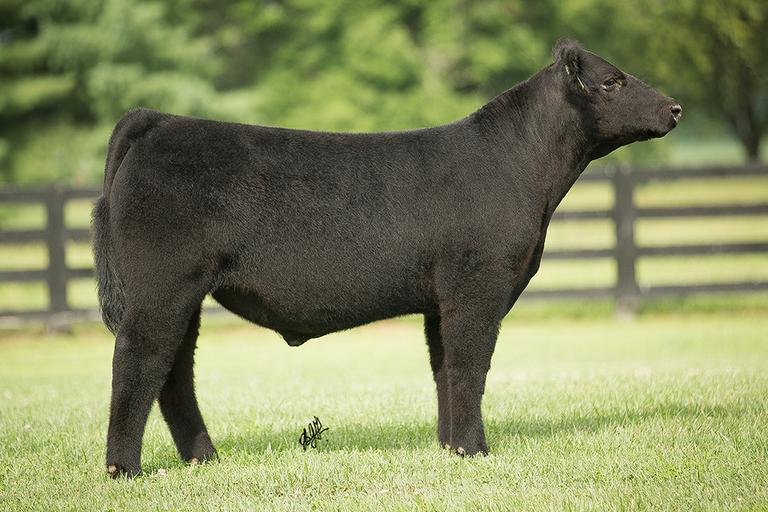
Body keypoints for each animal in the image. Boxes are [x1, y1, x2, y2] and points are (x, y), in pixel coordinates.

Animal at [93, 40, 681, 478]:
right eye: (613, 81)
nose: (675, 108)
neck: (523, 169)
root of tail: (160, 121)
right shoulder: (477, 283)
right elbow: (470, 364)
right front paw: (476, 451)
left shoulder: (440, 298)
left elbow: (443, 368)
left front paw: (450, 448)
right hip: (162, 289)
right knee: (138, 362)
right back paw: (125, 470)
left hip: (185, 296)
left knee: (174, 371)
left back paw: (204, 459)